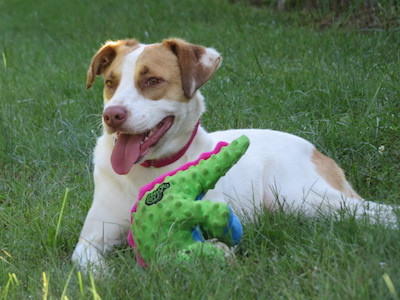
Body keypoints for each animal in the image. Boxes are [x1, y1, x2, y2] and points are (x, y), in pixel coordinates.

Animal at [72, 38, 396, 270]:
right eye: (110, 83)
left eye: (152, 81)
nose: (112, 116)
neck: (149, 170)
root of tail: (314, 149)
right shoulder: (90, 240)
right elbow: (90, 266)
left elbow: (219, 243)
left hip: (300, 197)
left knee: (372, 211)